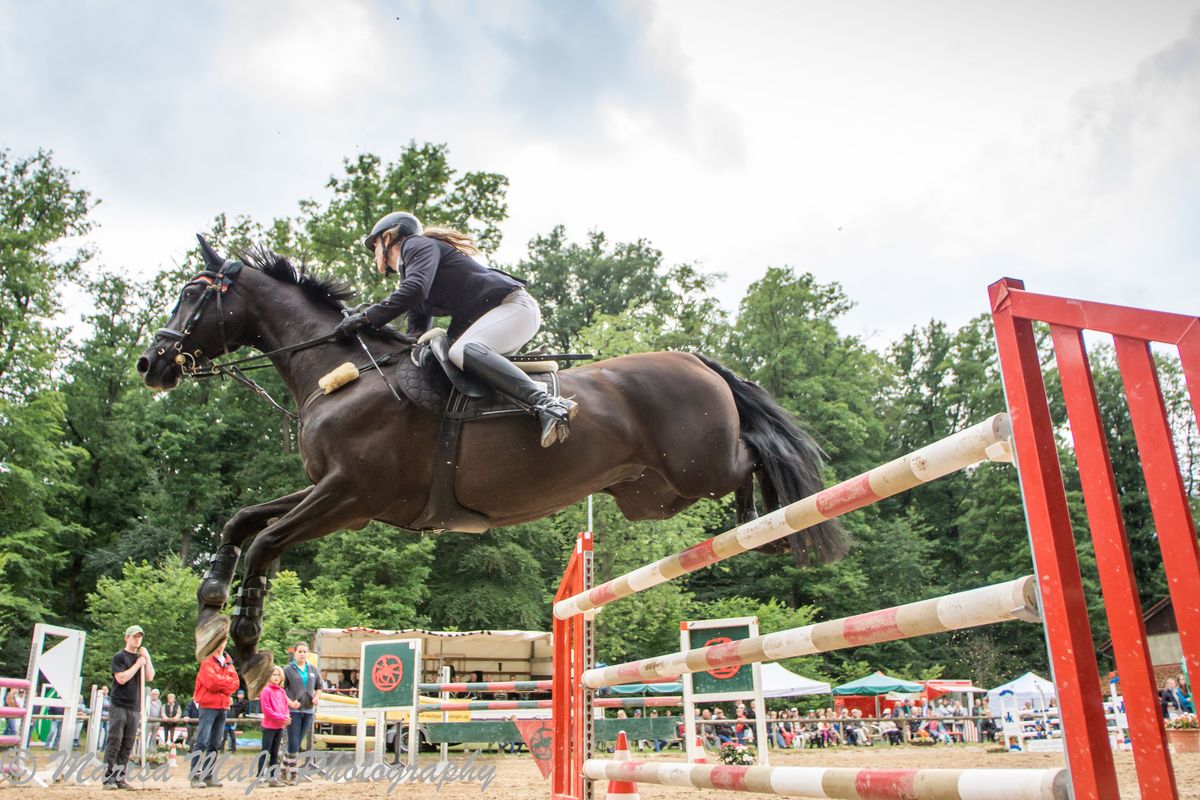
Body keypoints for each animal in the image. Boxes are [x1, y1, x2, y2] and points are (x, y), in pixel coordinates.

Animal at [136, 236, 844, 695]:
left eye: (193, 294)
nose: (152, 364)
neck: (342, 372)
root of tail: (697, 359)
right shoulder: (336, 497)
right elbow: (242, 523)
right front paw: (208, 615)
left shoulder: (350, 496)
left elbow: (264, 543)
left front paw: (249, 650)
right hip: (653, 493)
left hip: (701, 466)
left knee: (756, 456)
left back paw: (769, 521)